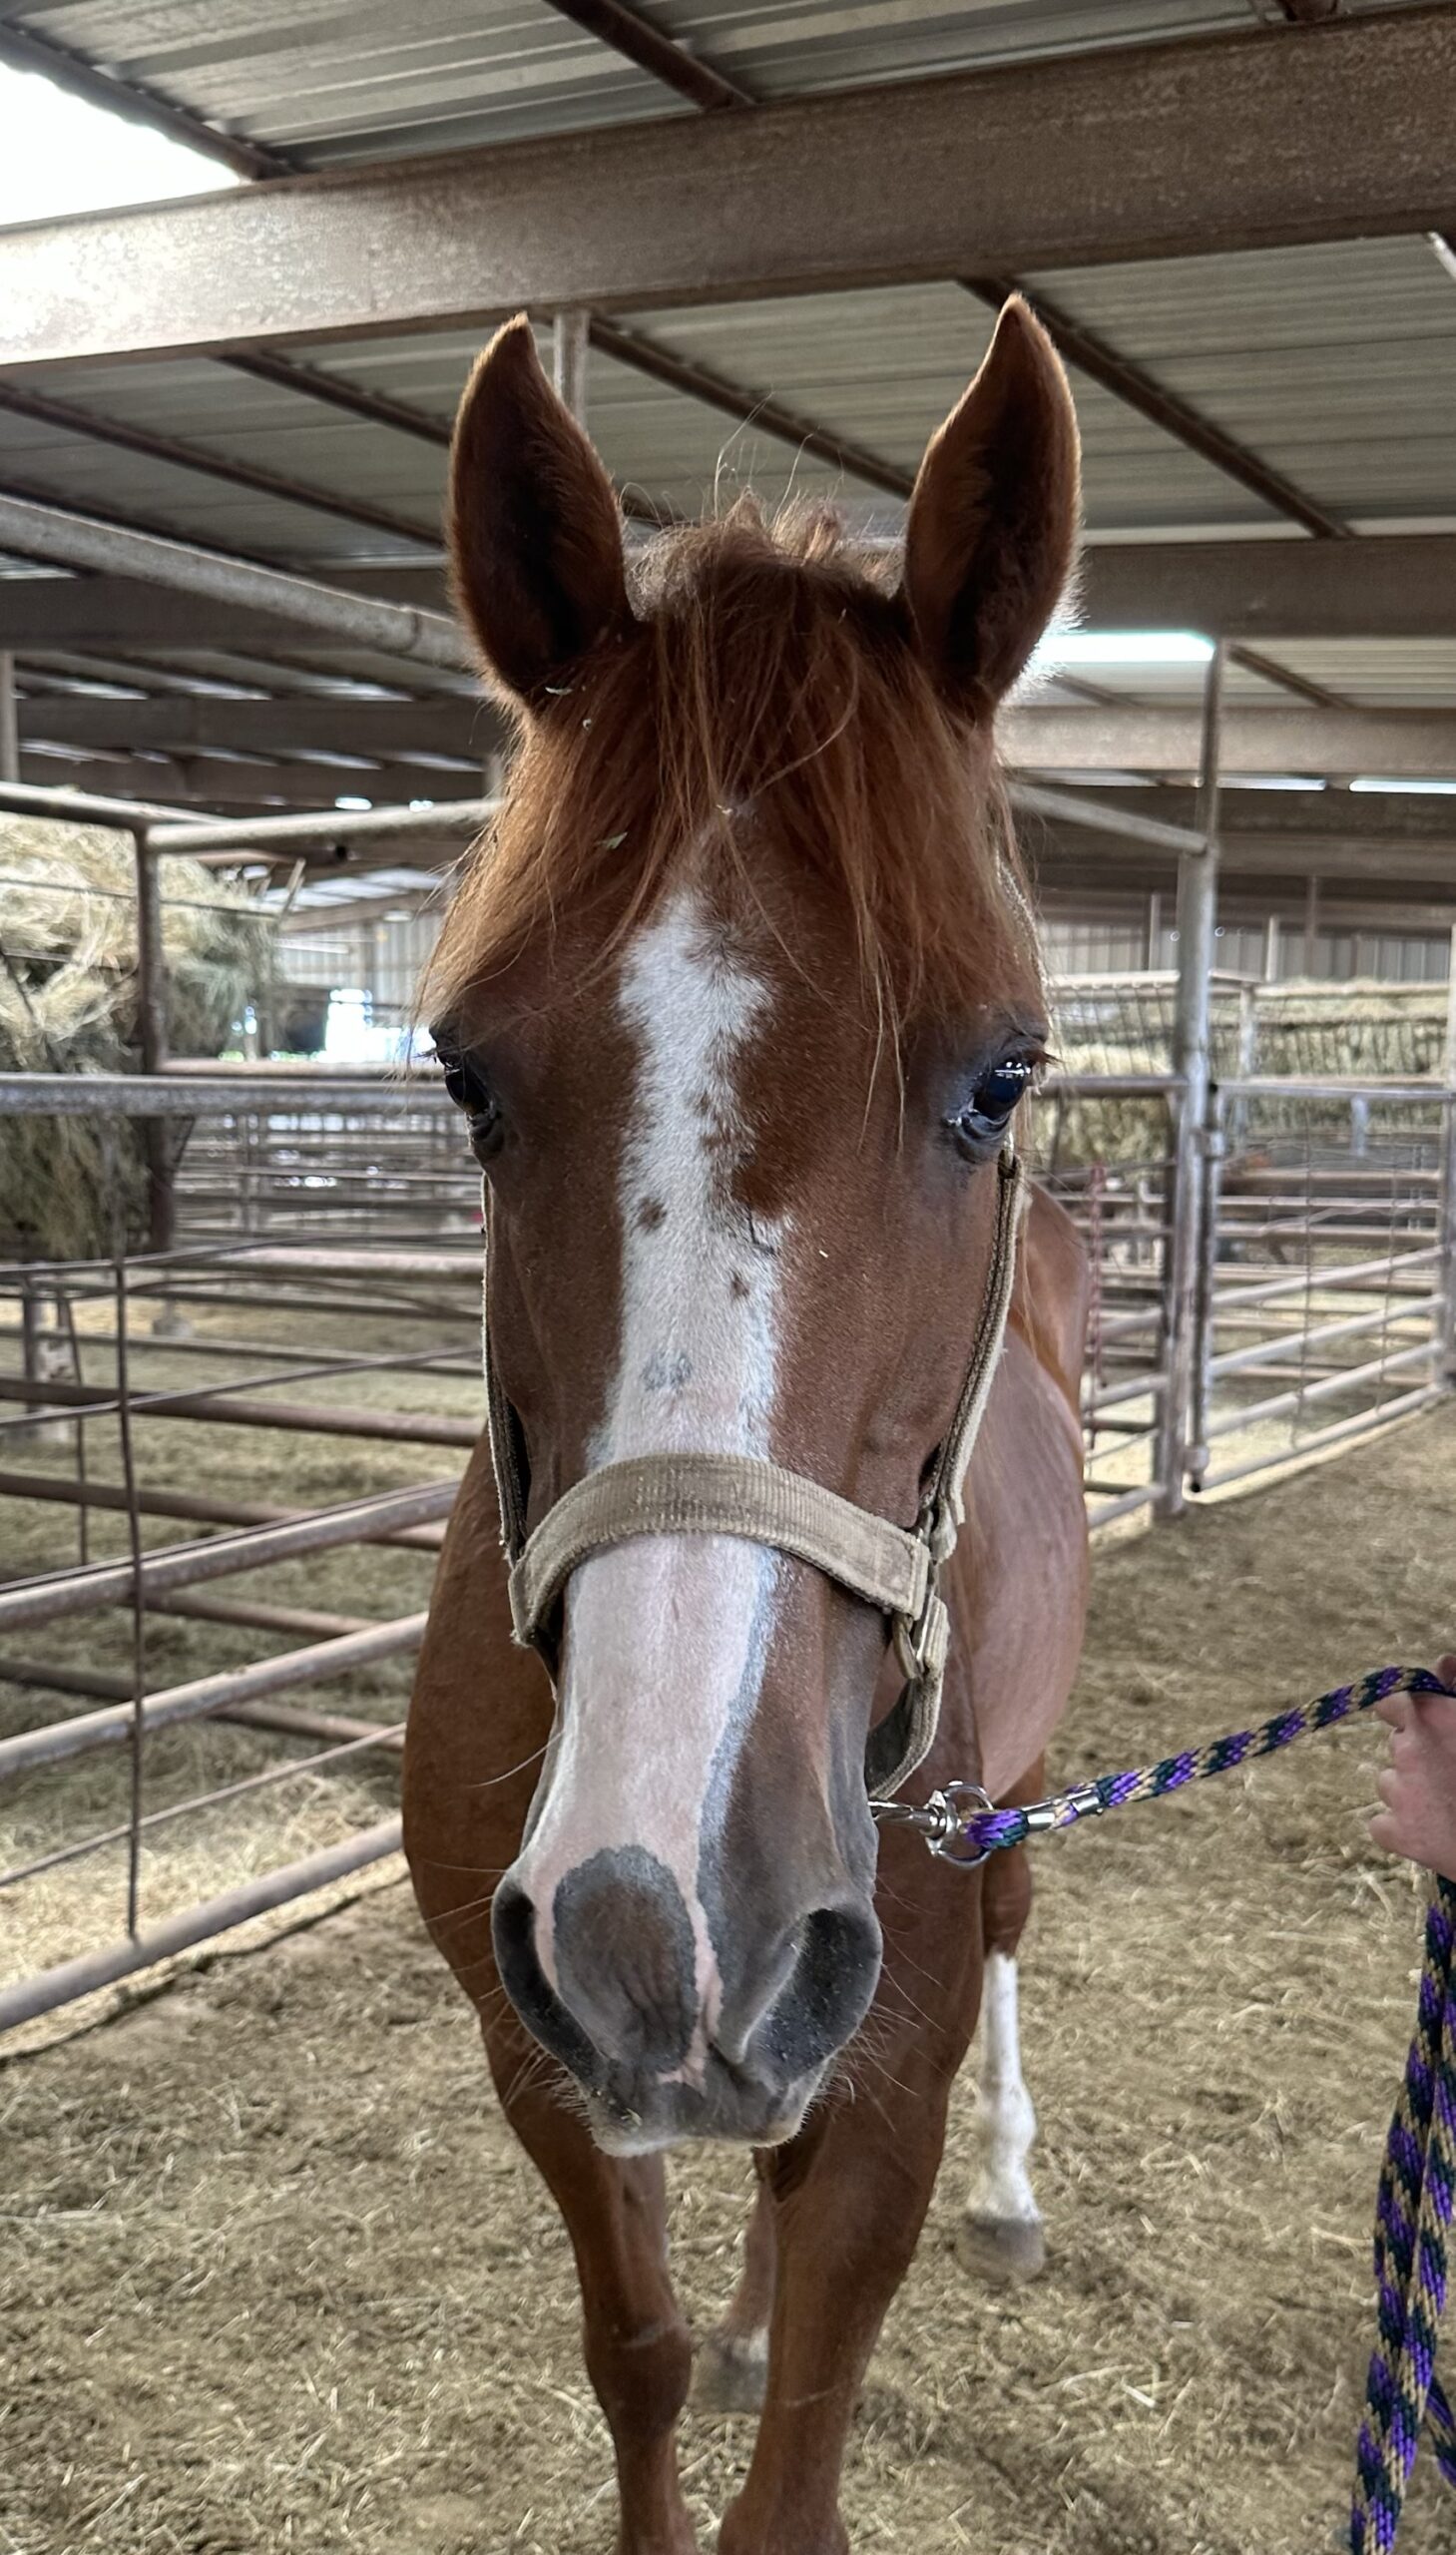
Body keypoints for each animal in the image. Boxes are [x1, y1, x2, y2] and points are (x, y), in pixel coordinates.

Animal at [403, 297, 1091, 2555]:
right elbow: (632, 2356)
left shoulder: (882, 2066)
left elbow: (801, 2453)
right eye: (463, 1075)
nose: (662, 1916)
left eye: (997, 1077)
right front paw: (692, 2337)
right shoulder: (535, 2050)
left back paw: (1017, 2191)